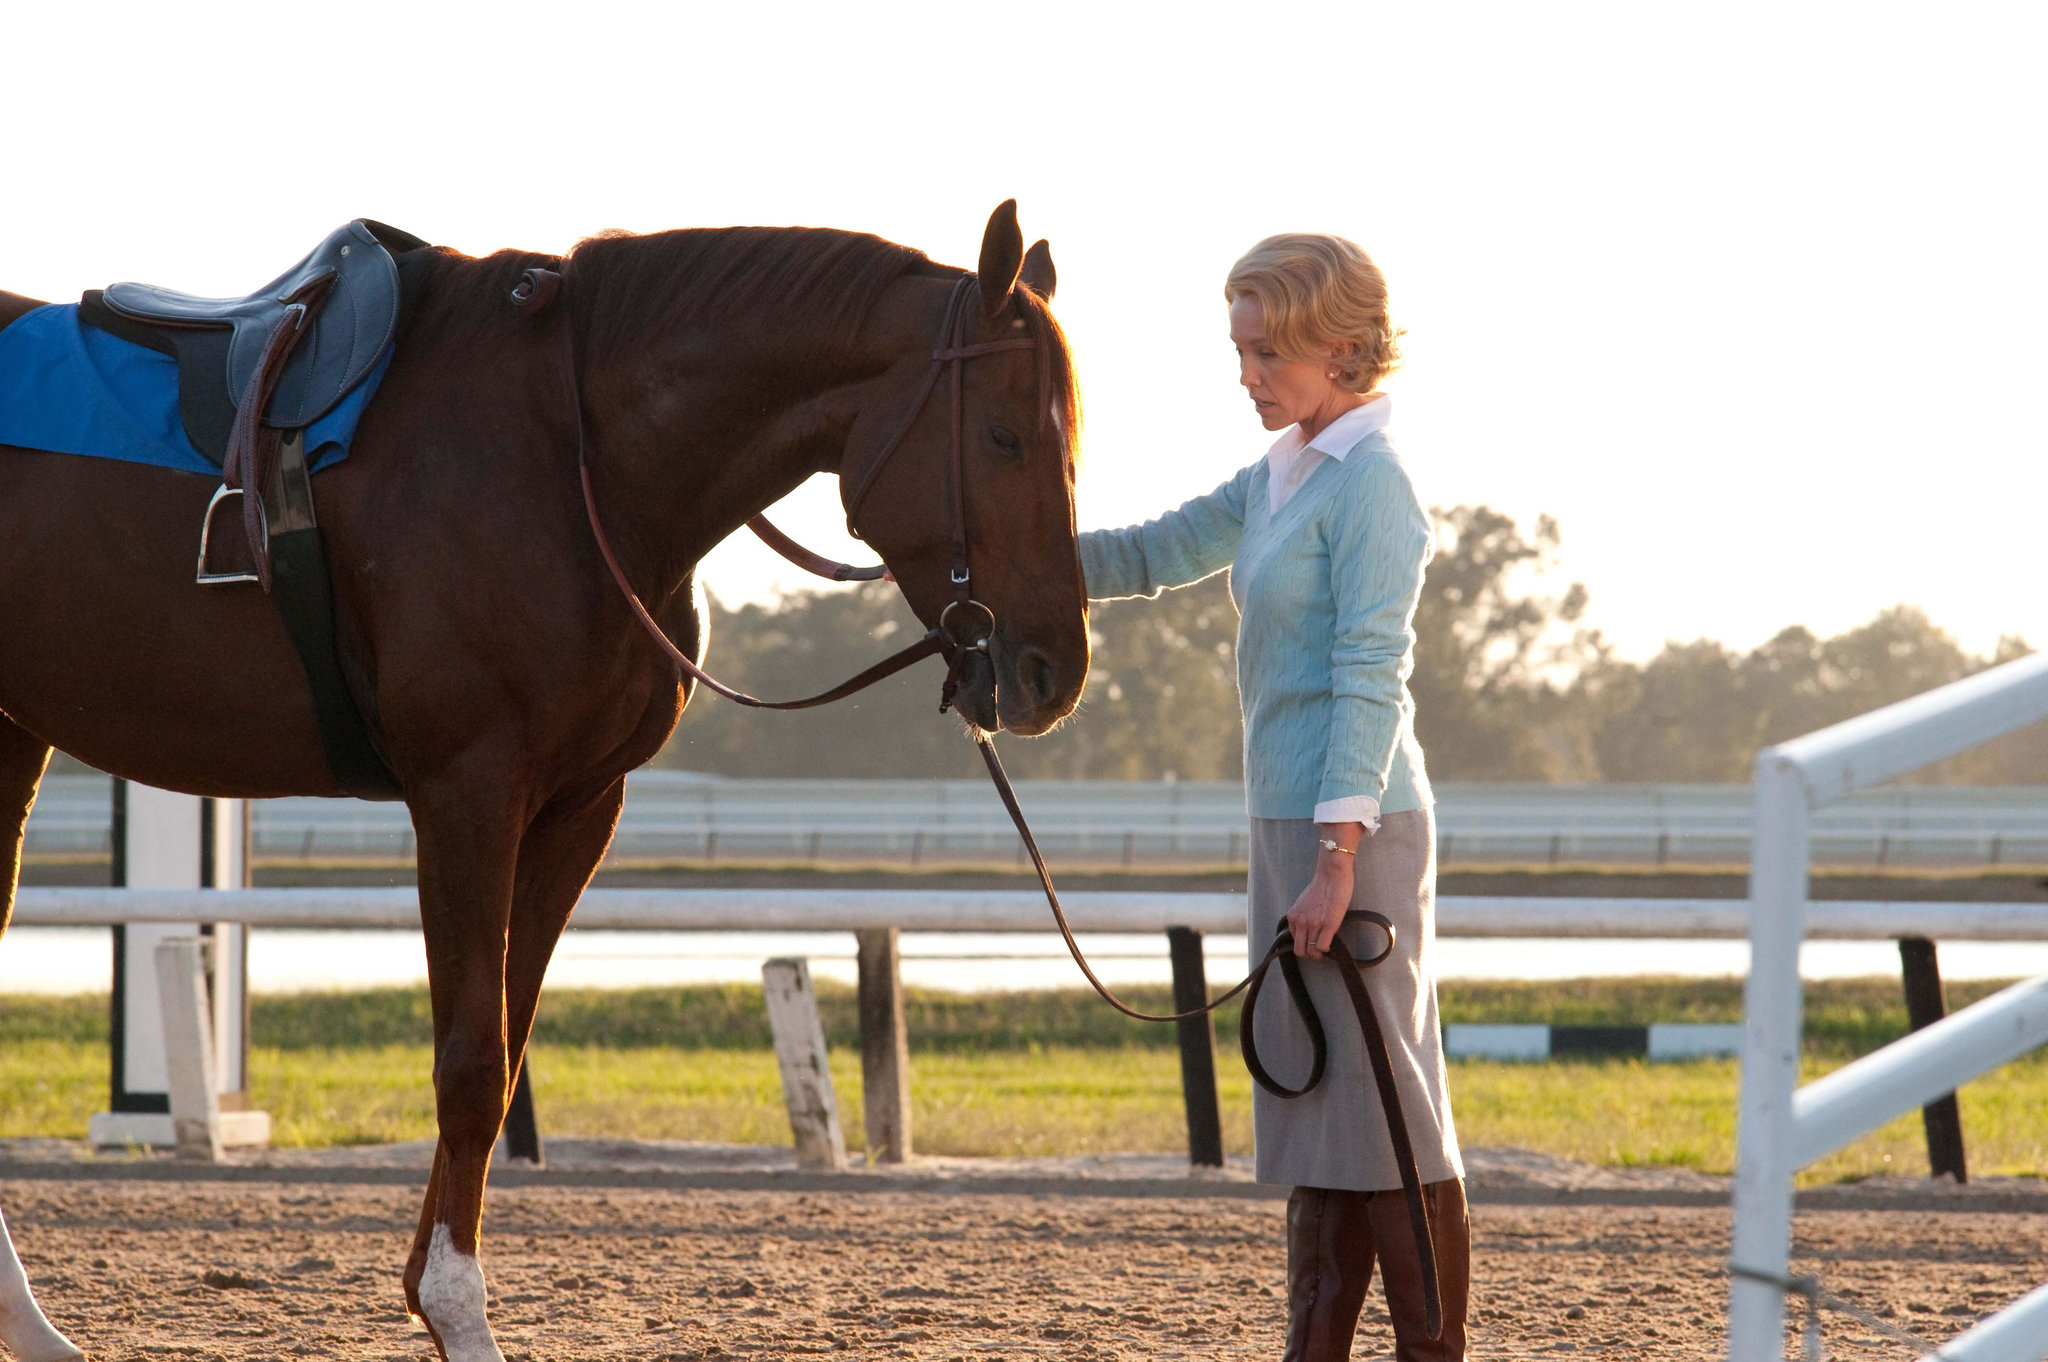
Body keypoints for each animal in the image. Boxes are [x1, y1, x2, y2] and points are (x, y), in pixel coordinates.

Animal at [0, 201, 1089, 1359]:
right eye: (1005, 437)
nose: (1052, 674)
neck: (573, 463)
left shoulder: (577, 809)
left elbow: (505, 1049)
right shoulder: (467, 796)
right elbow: (471, 1065)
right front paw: (455, 1312)